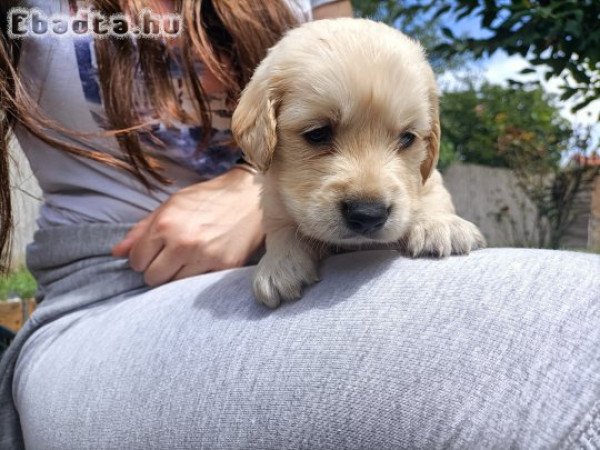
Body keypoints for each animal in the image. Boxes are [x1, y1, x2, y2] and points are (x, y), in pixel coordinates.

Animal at [232, 16, 486, 306]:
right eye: (317, 133)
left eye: (407, 138)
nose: (368, 215)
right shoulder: (274, 201)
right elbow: (282, 229)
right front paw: (279, 264)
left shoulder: (427, 178)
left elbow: (434, 196)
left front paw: (440, 224)